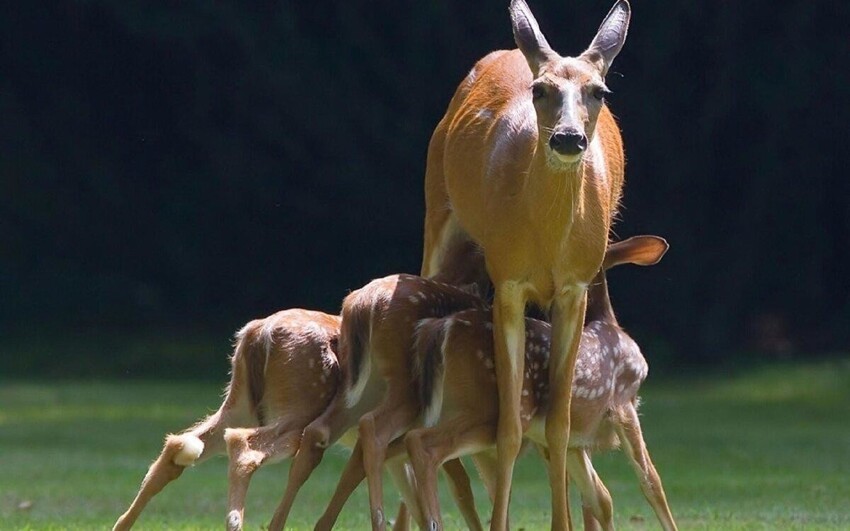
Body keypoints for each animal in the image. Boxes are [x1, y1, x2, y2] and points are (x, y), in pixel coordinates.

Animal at [408, 237, 672, 531]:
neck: (609, 323)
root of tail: (440, 329)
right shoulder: (624, 403)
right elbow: (652, 483)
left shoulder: (574, 441)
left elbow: (599, 497)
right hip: (486, 412)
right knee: (423, 443)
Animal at [422, 1, 628, 528]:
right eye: (541, 90)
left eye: (599, 91)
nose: (569, 139)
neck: (546, 242)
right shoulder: (509, 282)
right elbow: (509, 427)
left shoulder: (575, 288)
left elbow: (559, 424)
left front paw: (562, 522)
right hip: (437, 218)